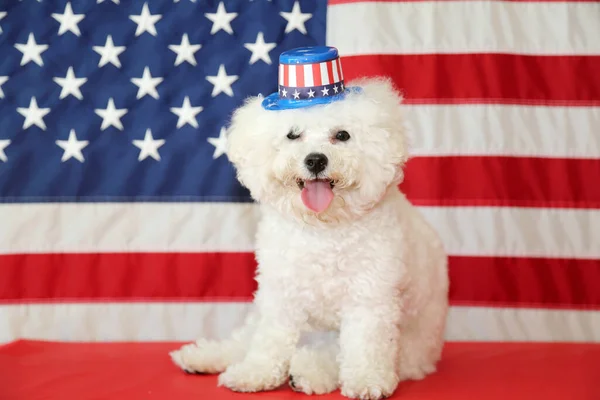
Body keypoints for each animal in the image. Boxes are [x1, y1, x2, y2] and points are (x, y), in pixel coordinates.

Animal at [168, 45, 446, 398]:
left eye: (342, 135)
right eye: (292, 135)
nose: (315, 160)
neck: (323, 229)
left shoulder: (371, 297)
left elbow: (365, 345)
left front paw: (367, 380)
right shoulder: (280, 293)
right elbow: (269, 341)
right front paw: (255, 373)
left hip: (411, 350)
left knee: (326, 353)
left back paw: (309, 372)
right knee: (243, 341)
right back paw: (202, 357)